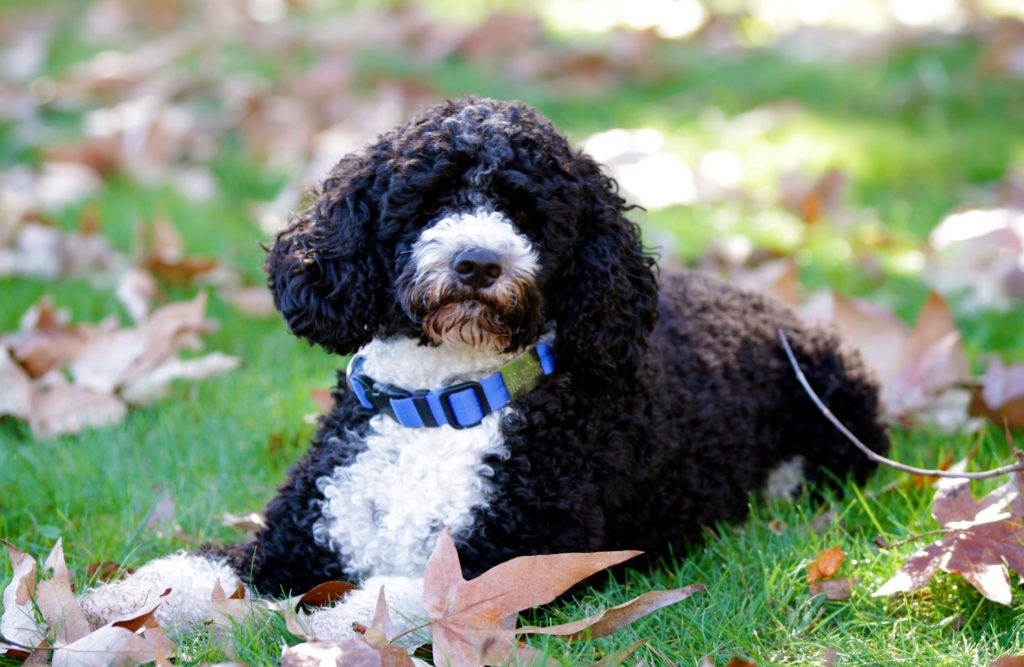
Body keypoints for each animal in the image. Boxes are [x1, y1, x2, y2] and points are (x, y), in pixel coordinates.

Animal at [79, 97, 892, 643]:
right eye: (428, 201)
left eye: (530, 215)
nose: (477, 262)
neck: (442, 404)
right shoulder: (294, 539)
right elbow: (196, 567)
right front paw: (111, 603)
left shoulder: (523, 552)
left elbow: (411, 594)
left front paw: (337, 625)